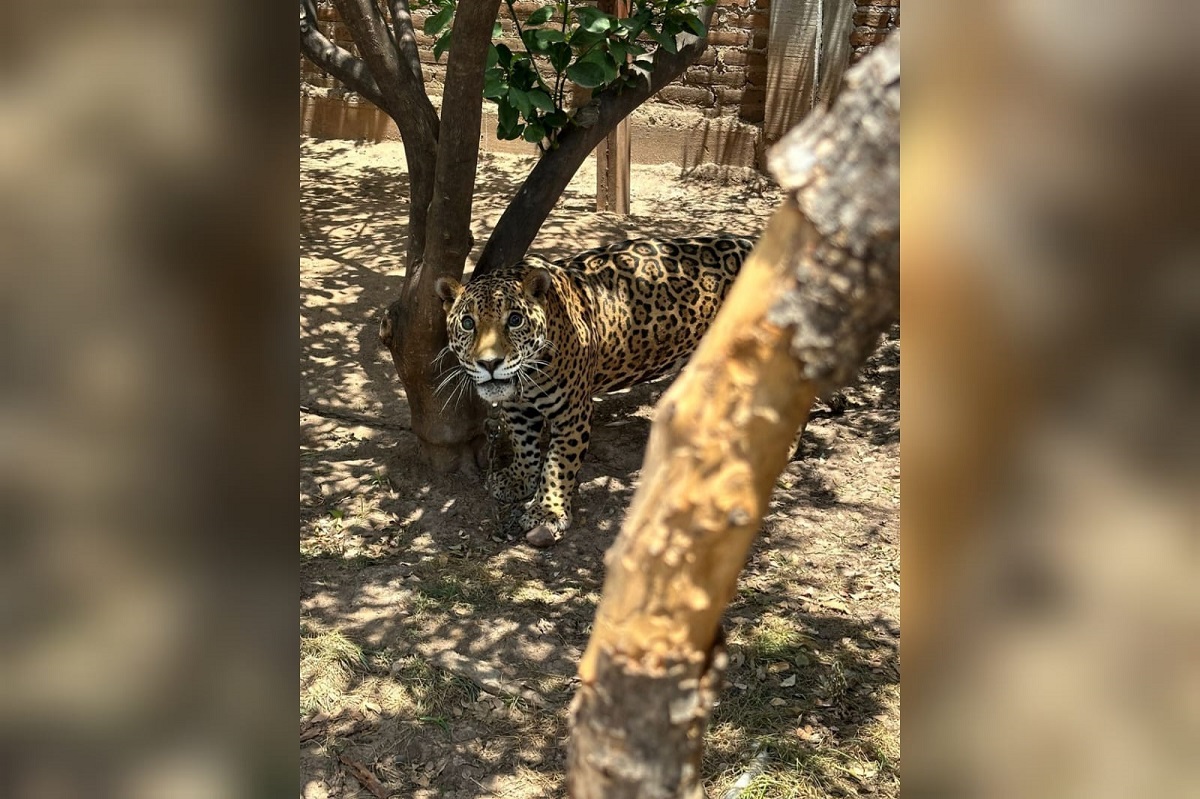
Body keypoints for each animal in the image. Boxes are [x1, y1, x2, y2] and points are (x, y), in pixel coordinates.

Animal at [435, 234, 755, 547]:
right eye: (468, 323)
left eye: (515, 320)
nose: (490, 363)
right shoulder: (517, 408)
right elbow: (524, 445)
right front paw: (519, 480)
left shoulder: (572, 412)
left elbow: (557, 465)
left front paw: (548, 513)